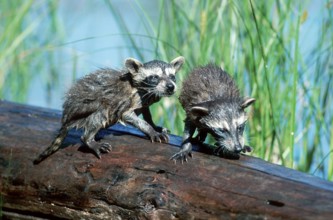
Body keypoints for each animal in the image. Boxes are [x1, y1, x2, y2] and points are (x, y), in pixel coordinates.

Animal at [33, 55, 184, 164]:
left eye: (172, 76)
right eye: (154, 77)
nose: (170, 87)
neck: (146, 90)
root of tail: (66, 117)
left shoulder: (146, 99)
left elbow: (147, 112)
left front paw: (155, 125)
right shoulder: (130, 100)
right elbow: (127, 115)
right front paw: (150, 130)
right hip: (84, 108)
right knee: (100, 112)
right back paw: (89, 139)